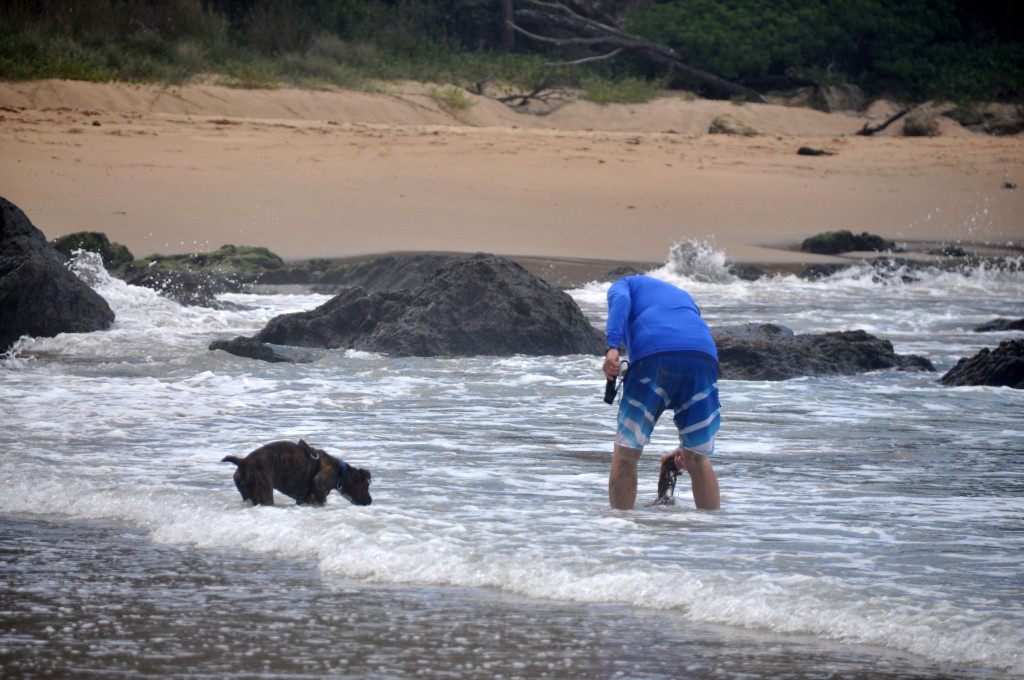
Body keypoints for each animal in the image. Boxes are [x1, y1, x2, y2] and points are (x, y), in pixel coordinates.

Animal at [222, 440, 374, 503]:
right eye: (366, 486)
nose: (370, 500)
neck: (340, 472)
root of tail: (244, 461)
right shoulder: (319, 484)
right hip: (264, 494)